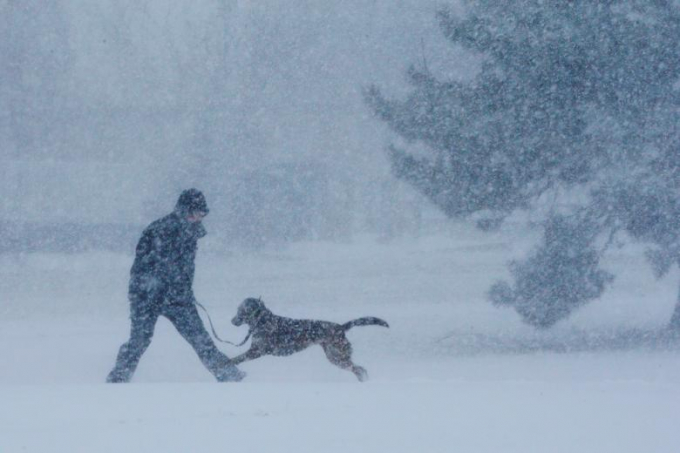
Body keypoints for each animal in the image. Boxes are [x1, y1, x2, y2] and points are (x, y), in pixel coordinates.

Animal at [228, 296, 388, 382]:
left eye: (241, 310)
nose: (232, 320)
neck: (262, 320)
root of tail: (341, 327)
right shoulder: (256, 351)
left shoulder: (257, 351)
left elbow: (237, 358)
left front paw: (227, 362)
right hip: (335, 356)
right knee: (359, 369)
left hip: (337, 356)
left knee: (359, 369)